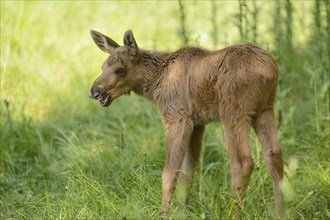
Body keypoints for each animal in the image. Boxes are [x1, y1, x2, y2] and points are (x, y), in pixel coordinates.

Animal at [89, 30, 284, 217]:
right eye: (102, 67)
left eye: (120, 70)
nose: (95, 92)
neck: (156, 82)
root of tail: (269, 70)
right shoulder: (197, 123)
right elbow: (187, 172)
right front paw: (181, 212)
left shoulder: (177, 118)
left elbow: (169, 173)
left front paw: (164, 214)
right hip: (265, 109)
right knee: (273, 153)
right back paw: (280, 212)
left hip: (233, 112)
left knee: (243, 162)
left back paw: (234, 213)